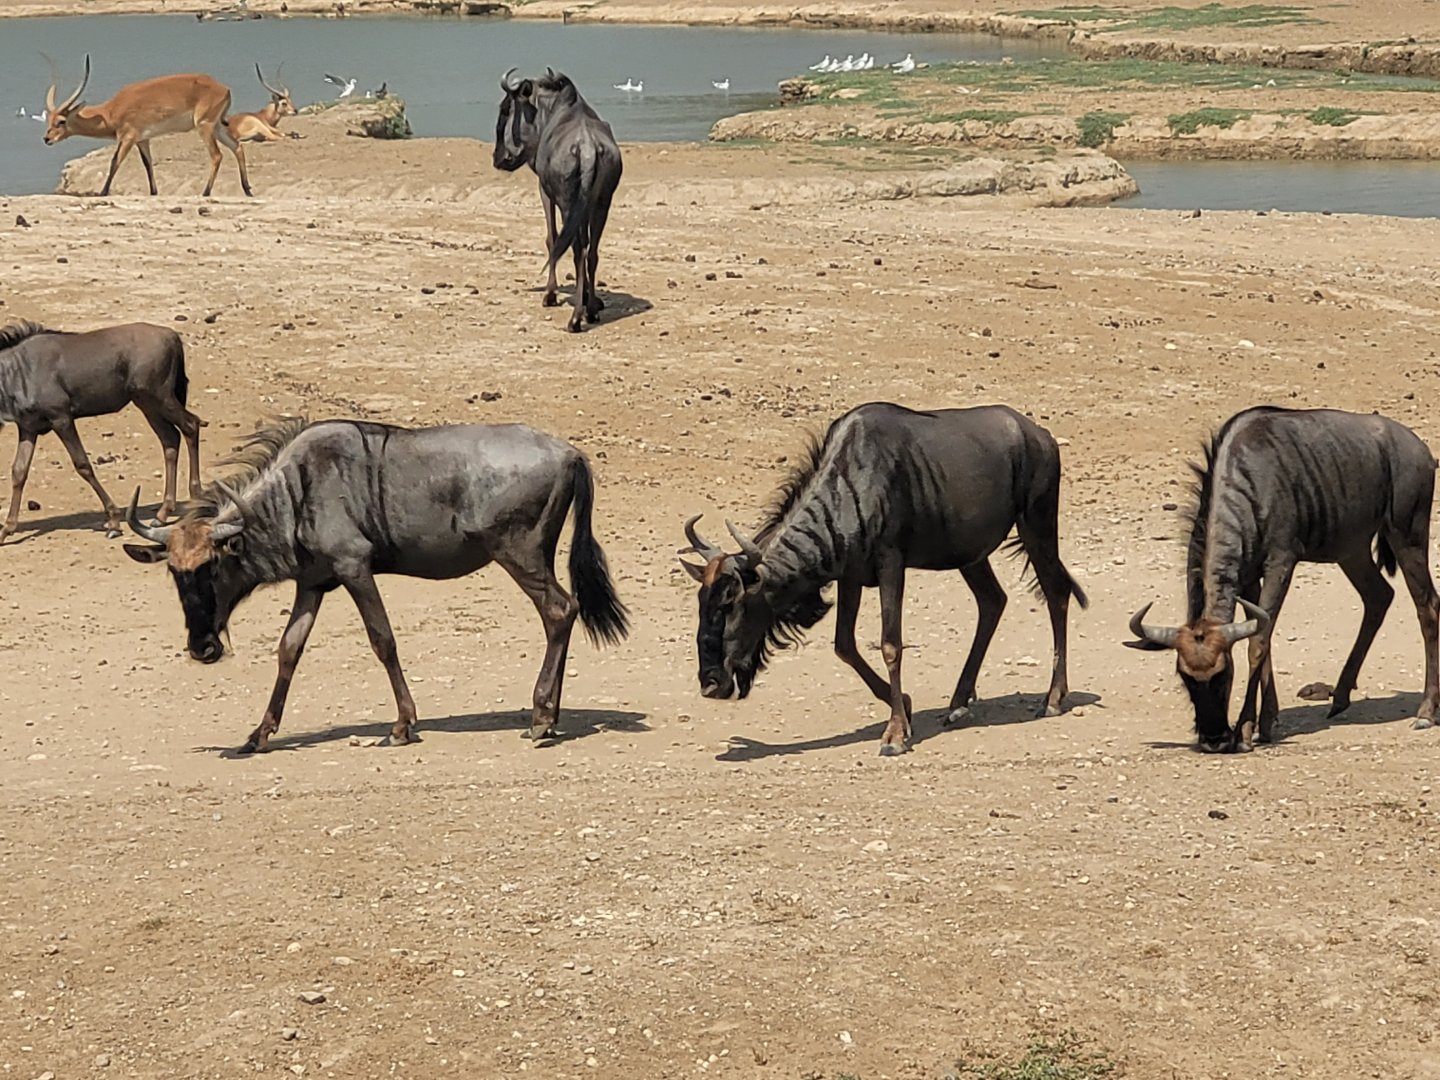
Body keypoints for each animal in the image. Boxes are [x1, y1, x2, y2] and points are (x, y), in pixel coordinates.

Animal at [43, 54, 254, 197]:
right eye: (48, 119)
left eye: (61, 121)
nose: (47, 138)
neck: (111, 111)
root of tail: (224, 88)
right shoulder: (142, 139)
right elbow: (148, 164)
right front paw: (154, 192)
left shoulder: (128, 137)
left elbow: (114, 161)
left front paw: (102, 192)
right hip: (217, 127)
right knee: (237, 147)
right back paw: (247, 190)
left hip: (205, 126)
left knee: (217, 155)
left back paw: (206, 193)